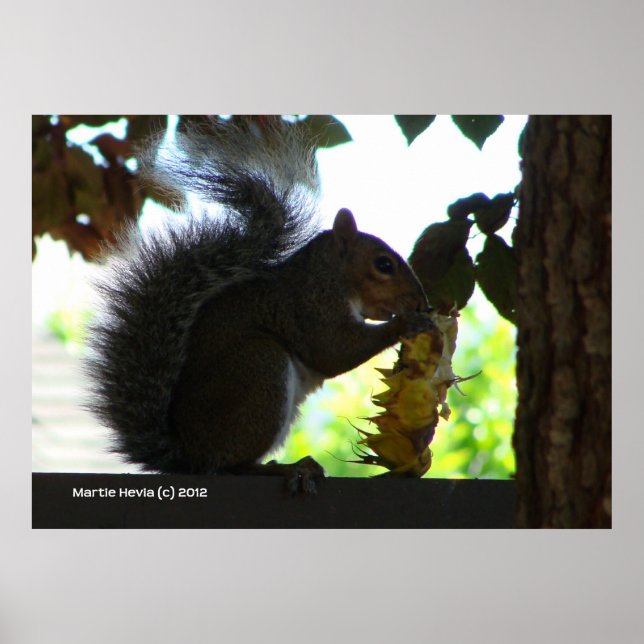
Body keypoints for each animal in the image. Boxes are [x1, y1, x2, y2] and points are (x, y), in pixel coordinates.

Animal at [85, 116, 433, 492]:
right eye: (383, 265)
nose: (421, 301)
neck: (327, 275)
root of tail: (188, 455)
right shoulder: (309, 307)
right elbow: (332, 351)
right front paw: (407, 324)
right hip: (259, 367)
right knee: (230, 466)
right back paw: (285, 469)